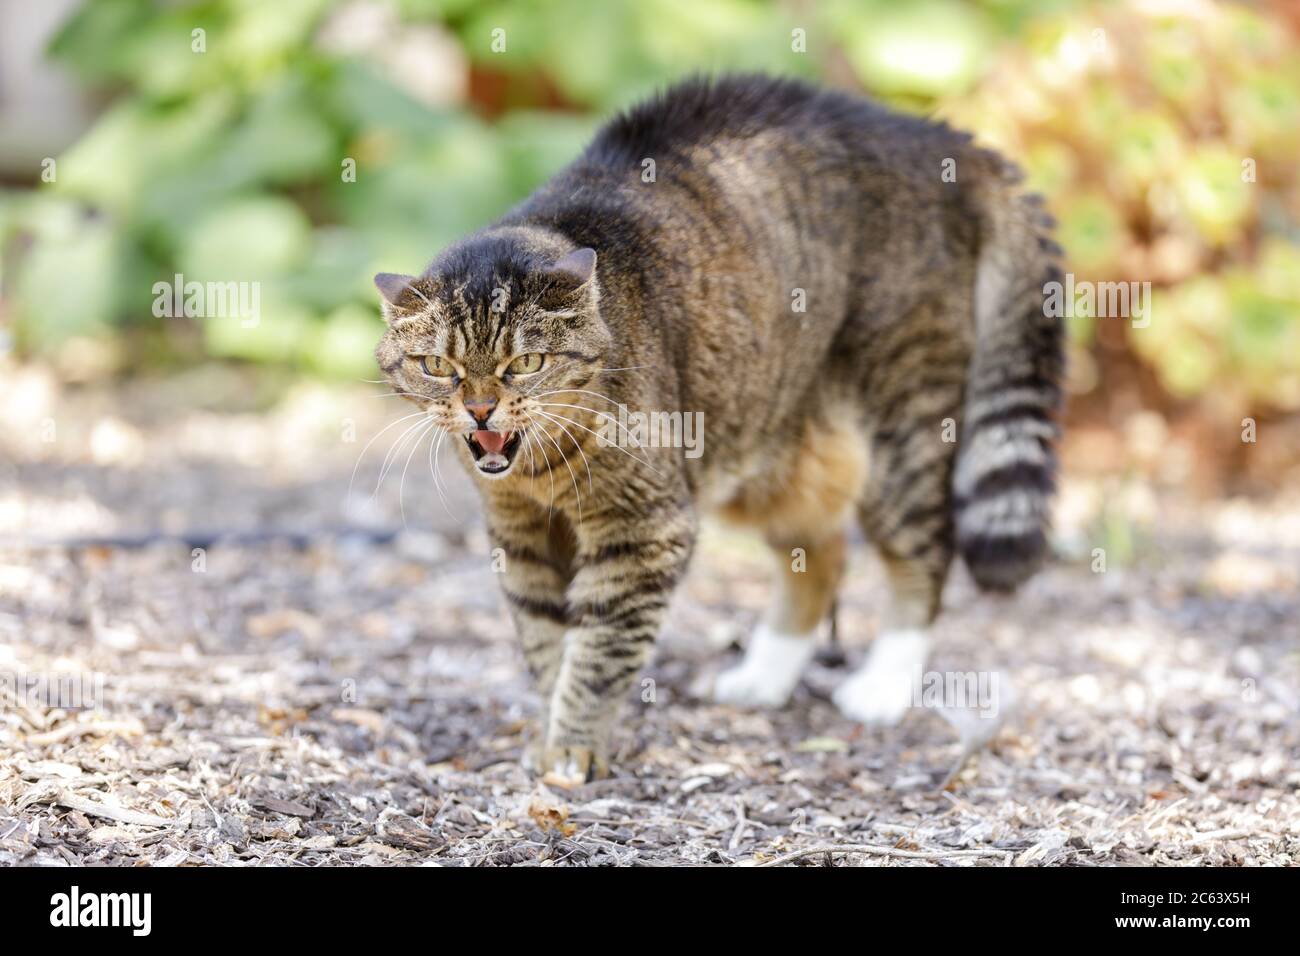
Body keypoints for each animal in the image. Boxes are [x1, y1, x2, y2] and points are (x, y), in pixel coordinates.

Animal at [371, 76, 1060, 785]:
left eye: (526, 364)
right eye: (438, 368)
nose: (480, 410)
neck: (542, 470)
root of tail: (944, 139)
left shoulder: (643, 530)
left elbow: (596, 655)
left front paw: (573, 747)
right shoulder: (522, 536)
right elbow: (545, 644)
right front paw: (547, 733)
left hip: (904, 428)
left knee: (925, 552)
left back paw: (884, 684)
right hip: (771, 447)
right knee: (822, 556)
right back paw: (764, 676)